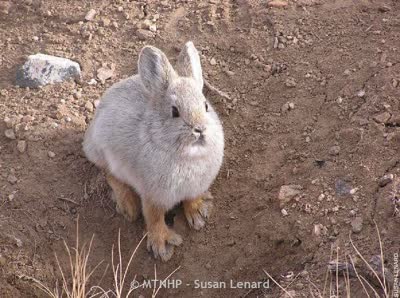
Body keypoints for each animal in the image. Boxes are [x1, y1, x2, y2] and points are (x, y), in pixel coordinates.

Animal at [83, 42, 225, 260]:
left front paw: (199, 213)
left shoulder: (194, 188)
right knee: (110, 175)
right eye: (174, 111)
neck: (188, 155)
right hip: (103, 152)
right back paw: (129, 207)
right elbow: (154, 217)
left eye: (206, 105)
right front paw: (162, 245)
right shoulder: (153, 195)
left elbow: (191, 200)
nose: (200, 129)